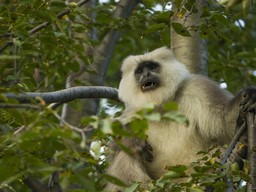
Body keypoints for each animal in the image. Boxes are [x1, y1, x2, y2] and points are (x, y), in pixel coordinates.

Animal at [105, 46, 255, 190]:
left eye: (152, 66)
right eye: (139, 71)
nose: (146, 74)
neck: (160, 108)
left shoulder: (198, 89)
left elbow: (225, 120)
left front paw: (250, 96)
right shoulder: (131, 114)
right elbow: (114, 151)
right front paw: (131, 140)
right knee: (128, 154)